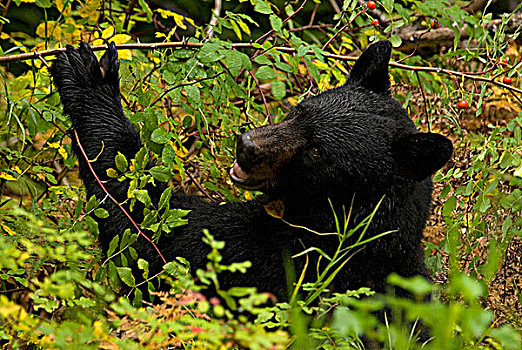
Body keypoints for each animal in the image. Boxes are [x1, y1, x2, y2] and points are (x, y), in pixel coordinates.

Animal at [51, 40, 450, 298]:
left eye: (317, 151)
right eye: (299, 109)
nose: (247, 147)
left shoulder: (268, 259)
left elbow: (151, 229)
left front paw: (90, 79)